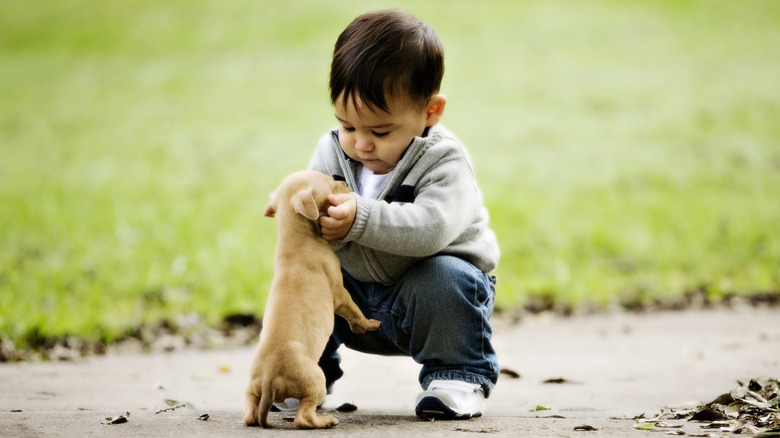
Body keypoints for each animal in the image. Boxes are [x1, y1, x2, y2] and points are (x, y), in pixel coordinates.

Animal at [242, 170, 380, 428]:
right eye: (329, 181)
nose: (343, 181)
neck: (296, 238)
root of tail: (268, 379)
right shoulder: (339, 293)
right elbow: (354, 311)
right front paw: (368, 324)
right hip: (316, 380)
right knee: (303, 417)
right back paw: (325, 420)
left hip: (252, 388)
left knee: (250, 415)